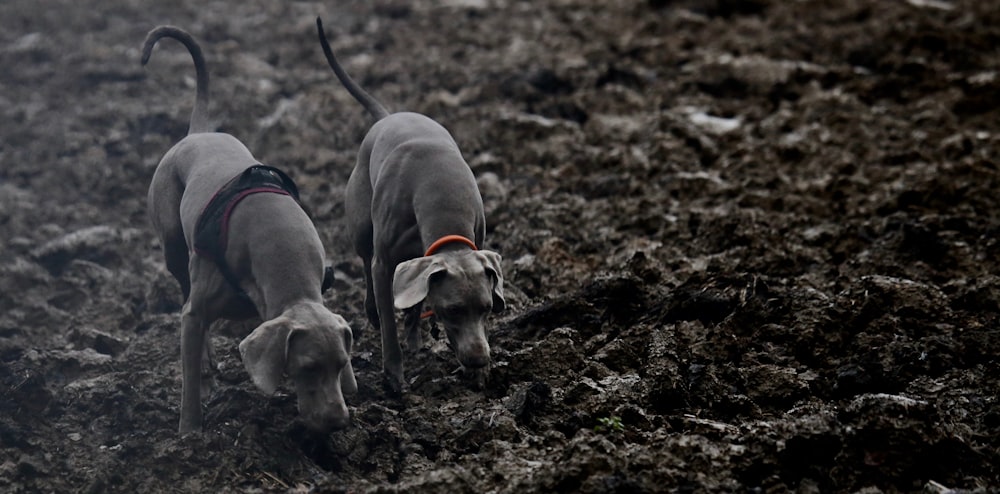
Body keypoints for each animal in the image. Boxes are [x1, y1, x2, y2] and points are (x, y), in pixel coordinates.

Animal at [142, 26, 356, 432]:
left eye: (341, 365)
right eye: (308, 367)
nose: (338, 421)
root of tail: (197, 133)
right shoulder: (197, 310)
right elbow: (190, 365)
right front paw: (189, 432)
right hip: (174, 247)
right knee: (184, 294)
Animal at [318, 17, 508, 392]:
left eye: (486, 308)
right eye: (452, 310)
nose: (480, 358)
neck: (442, 195)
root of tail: (387, 115)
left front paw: (477, 374)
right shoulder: (384, 264)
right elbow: (388, 318)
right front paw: (394, 374)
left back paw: (416, 335)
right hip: (361, 226)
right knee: (365, 265)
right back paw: (373, 313)